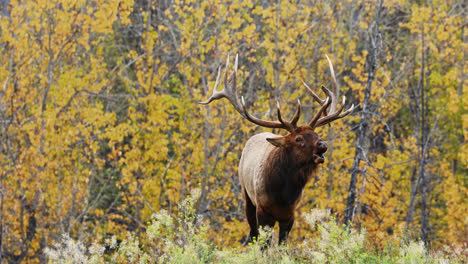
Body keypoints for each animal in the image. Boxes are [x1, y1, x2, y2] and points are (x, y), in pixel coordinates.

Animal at [198, 53, 354, 245]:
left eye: (317, 135)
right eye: (298, 139)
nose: (323, 145)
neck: (283, 195)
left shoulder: (290, 215)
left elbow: (282, 245)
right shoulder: (263, 210)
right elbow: (263, 243)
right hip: (246, 196)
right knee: (252, 233)